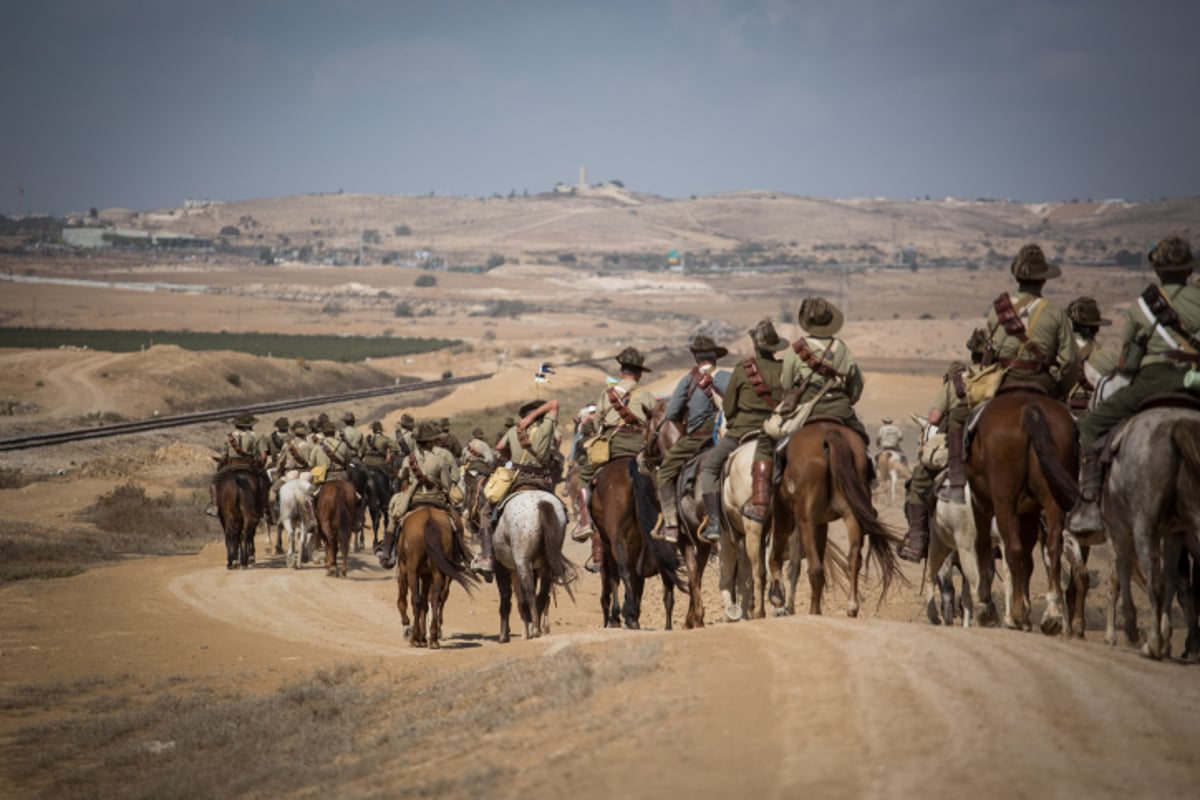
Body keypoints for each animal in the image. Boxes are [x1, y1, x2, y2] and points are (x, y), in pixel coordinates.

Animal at [393, 506, 477, 652]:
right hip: (438, 571)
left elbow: (404, 600)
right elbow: (425, 603)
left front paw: (408, 628)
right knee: (435, 598)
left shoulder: (404, 569)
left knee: (416, 600)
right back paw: (433, 638)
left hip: (413, 570)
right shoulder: (427, 575)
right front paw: (423, 636)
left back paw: (415, 638)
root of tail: (429, 519)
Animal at [492, 491, 576, 642]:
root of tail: (541, 503)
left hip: (522, 561)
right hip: (546, 563)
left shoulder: (500, 566)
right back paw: (536, 629)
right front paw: (526, 629)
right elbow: (520, 599)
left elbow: (506, 597)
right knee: (542, 592)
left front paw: (504, 636)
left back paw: (535, 629)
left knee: (529, 591)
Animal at [588, 455, 686, 633]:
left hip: (617, 537)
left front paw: (617, 616)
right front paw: (630, 613)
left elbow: (615, 578)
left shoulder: (608, 545)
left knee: (623, 571)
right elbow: (637, 580)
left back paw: (627, 614)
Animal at [768, 422, 902, 618]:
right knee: (853, 560)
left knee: (814, 568)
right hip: (851, 516)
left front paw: (778, 599)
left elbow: (780, 558)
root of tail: (829, 435)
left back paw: (812, 611)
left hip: (802, 520)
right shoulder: (821, 522)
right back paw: (851, 607)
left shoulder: (788, 516)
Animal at [964, 391, 1080, 633]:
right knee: (1052, 548)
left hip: (1003, 501)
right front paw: (1026, 613)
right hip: (1052, 499)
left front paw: (986, 608)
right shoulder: (1028, 512)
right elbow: (1028, 560)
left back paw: (1016, 615)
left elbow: (983, 547)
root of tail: (1030, 409)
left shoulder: (981, 503)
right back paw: (1052, 615)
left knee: (1013, 547)